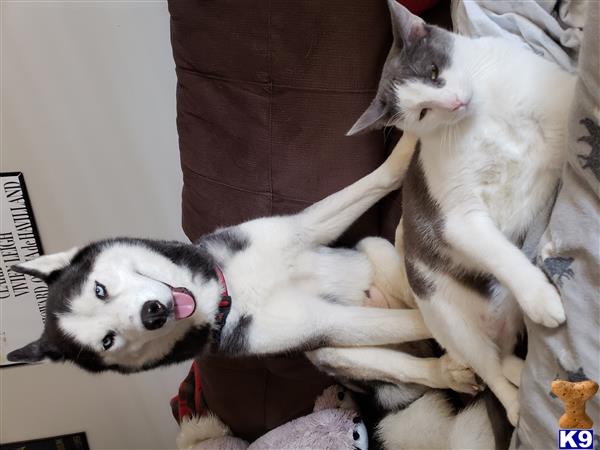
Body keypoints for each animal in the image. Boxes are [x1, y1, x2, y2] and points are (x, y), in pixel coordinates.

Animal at [350, 0, 576, 426]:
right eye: (423, 113)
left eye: (434, 72)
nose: (454, 103)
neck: (481, 114)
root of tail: (500, 328)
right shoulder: (458, 217)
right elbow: (500, 253)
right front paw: (540, 296)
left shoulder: (552, 108)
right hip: (447, 317)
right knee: (488, 367)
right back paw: (515, 404)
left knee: (502, 360)